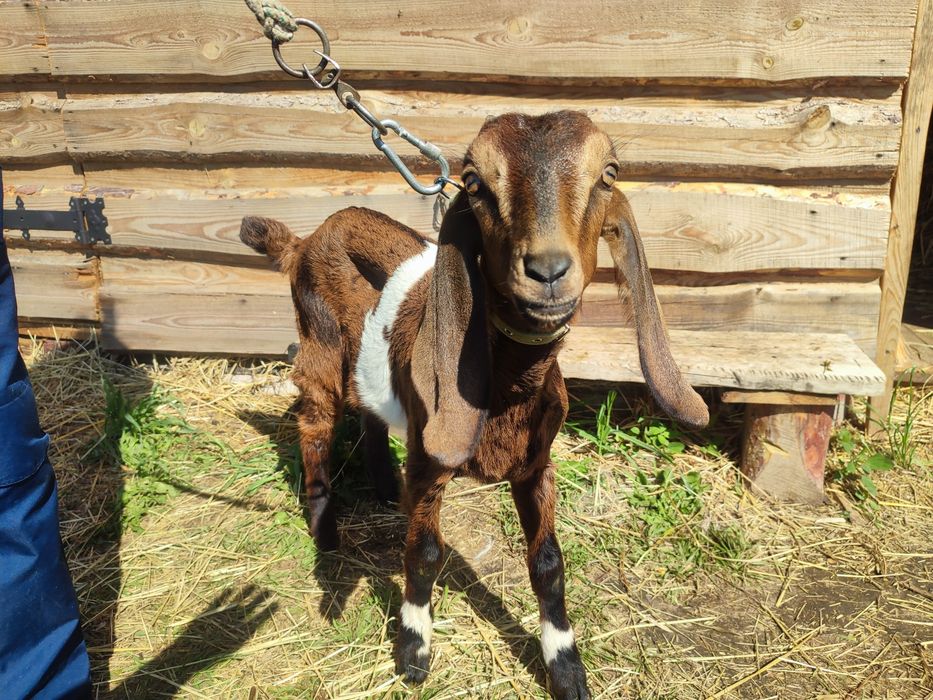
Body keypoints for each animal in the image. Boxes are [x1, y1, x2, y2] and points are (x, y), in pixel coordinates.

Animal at [240, 110, 709, 700]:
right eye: (475, 182)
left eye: (608, 174)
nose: (548, 270)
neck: (509, 387)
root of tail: (305, 240)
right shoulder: (430, 461)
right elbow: (424, 554)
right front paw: (414, 650)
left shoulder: (535, 465)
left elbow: (549, 563)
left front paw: (565, 666)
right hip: (320, 345)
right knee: (316, 423)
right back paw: (326, 532)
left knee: (369, 413)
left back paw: (383, 486)